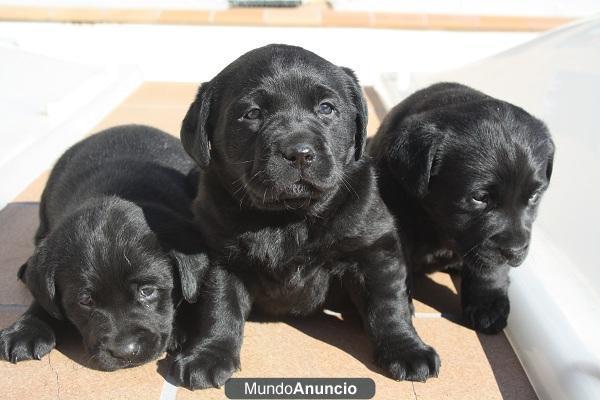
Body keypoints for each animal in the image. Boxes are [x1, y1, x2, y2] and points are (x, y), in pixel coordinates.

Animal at [170, 44, 440, 390]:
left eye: (326, 108)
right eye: (252, 113)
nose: (299, 153)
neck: (289, 217)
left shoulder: (373, 247)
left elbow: (387, 304)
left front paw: (407, 349)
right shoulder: (221, 255)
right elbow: (219, 307)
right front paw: (208, 355)